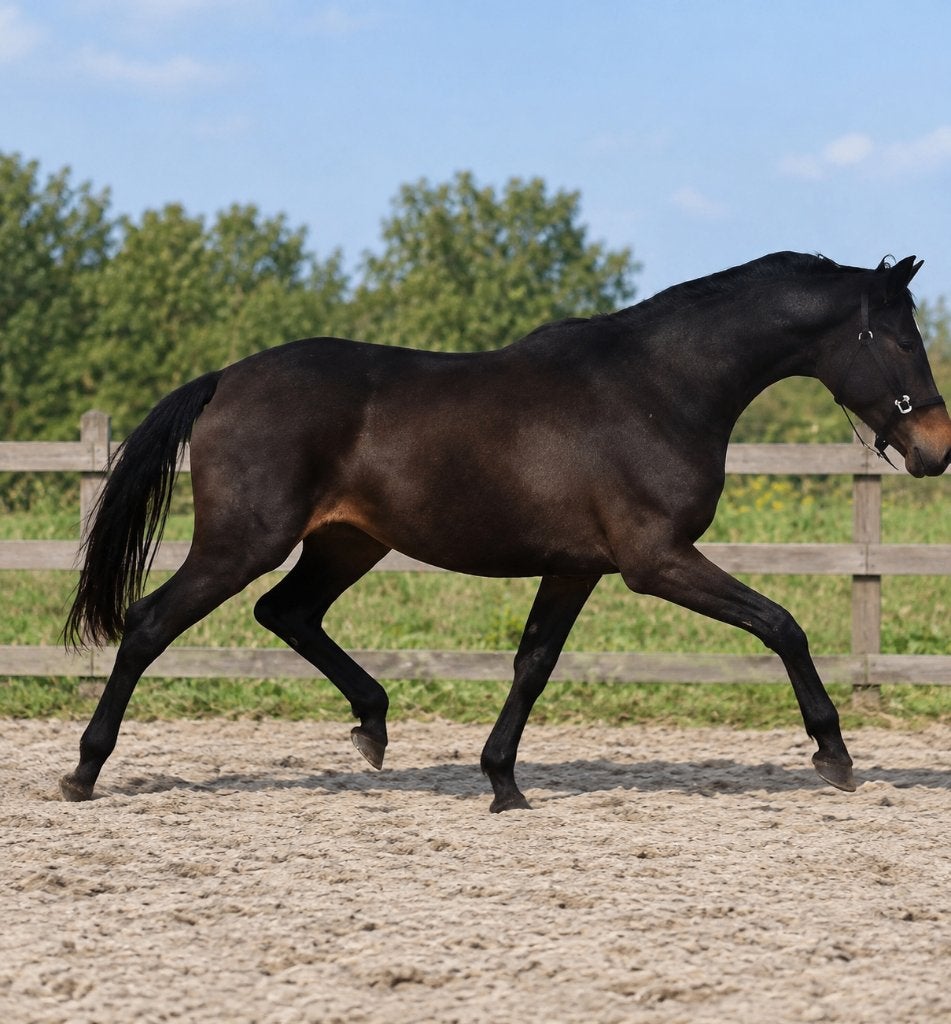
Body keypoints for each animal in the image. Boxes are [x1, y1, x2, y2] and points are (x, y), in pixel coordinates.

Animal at [62, 252, 951, 811]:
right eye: (898, 337)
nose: (936, 448)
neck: (660, 389)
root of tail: (223, 380)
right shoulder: (655, 560)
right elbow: (781, 624)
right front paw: (833, 755)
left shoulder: (574, 567)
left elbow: (532, 665)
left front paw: (501, 783)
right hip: (242, 542)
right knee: (149, 623)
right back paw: (83, 771)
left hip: (348, 541)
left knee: (287, 613)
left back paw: (373, 726)